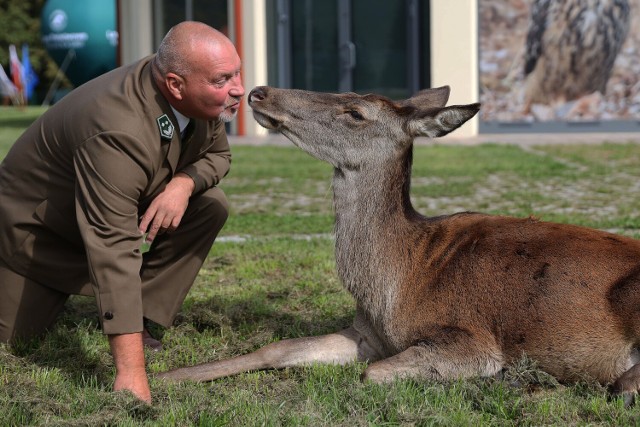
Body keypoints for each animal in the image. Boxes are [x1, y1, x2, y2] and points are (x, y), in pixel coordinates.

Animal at [158, 86, 640, 404]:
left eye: (355, 112)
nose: (259, 92)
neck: (392, 283)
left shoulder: (471, 338)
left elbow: (372, 375)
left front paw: (501, 376)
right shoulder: (367, 333)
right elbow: (276, 349)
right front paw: (170, 377)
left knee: (623, 384)